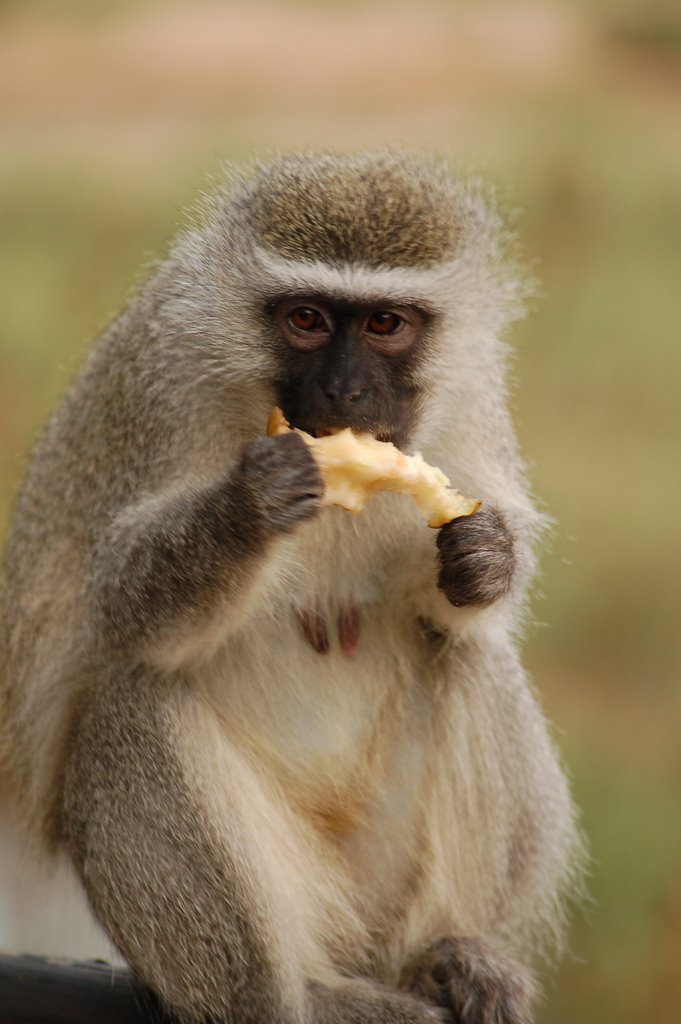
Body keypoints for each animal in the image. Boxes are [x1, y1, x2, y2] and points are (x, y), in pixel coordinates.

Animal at [0, 151, 577, 1024]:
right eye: (305, 318)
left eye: (384, 325)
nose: (341, 393)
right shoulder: (162, 381)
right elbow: (125, 599)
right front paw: (251, 505)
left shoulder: (473, 393)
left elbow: (472, 603)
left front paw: (486, 558)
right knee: (135, 695)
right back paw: (300, 997)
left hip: (379, 886)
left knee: (469, 657)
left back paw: (450, 954)